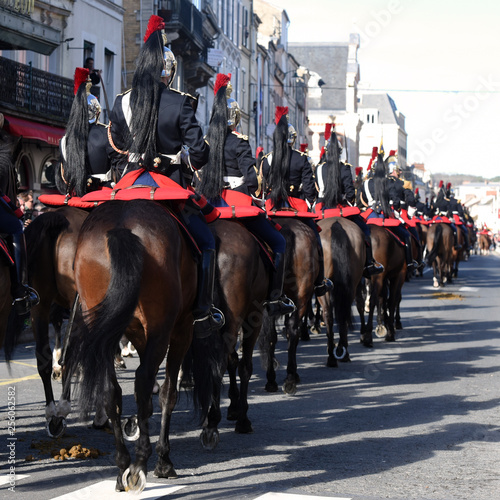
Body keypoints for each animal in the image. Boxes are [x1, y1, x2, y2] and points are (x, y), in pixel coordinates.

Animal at [65, 198, 214, 492]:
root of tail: (122, 227)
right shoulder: (181, 330)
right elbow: (168, 394)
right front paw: (164, 460)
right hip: (162, 329)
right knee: (144, 382)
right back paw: (140, 464)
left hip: (104, 330)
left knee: (111, 391)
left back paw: (123, 465)